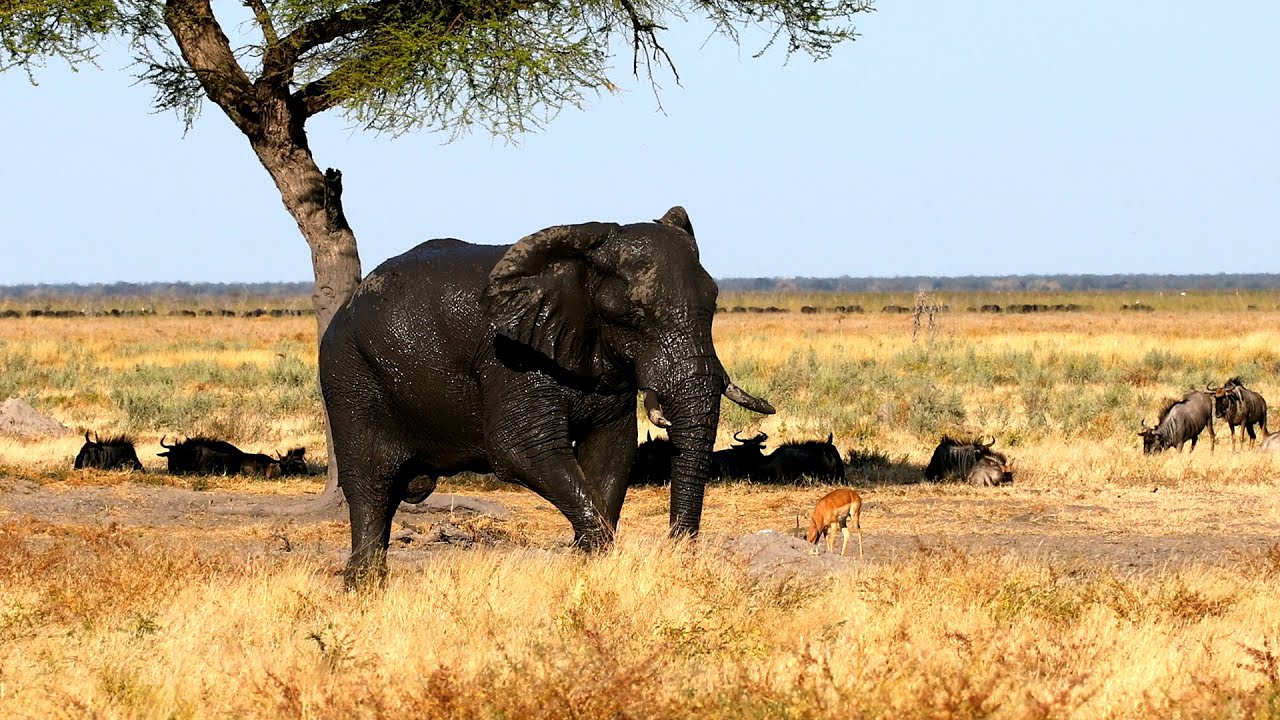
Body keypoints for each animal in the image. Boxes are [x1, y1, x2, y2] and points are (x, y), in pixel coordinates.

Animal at [319, 206, 775, 587]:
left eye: (714, 302)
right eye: (633, 315)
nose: (677, 551)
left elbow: (612, 454)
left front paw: (586, 564)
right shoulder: (511, 357)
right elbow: (522, 448)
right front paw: (592, 556)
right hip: (349, 377)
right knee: (371, 486)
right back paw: (364, 589)